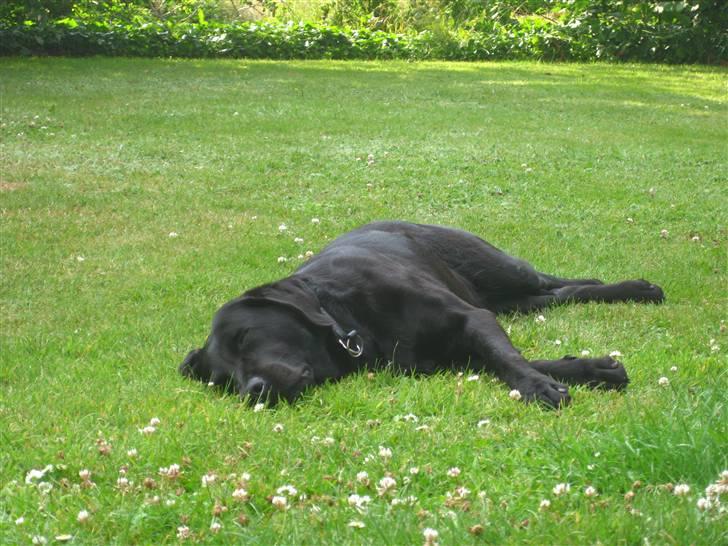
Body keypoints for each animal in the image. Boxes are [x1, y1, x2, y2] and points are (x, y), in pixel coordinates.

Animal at [179, 219, 664, 406]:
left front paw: (538, 388)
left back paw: (638, 288)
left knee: (558, 281)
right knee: (558, 295)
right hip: (510, 300)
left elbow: (509, 360)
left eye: (244, 337)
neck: (346, 317)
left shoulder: (472, 320)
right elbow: (522, 359)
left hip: (502, 269)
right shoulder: (453, 349)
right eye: (224, 382)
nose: (252, 391)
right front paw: (592, 369)